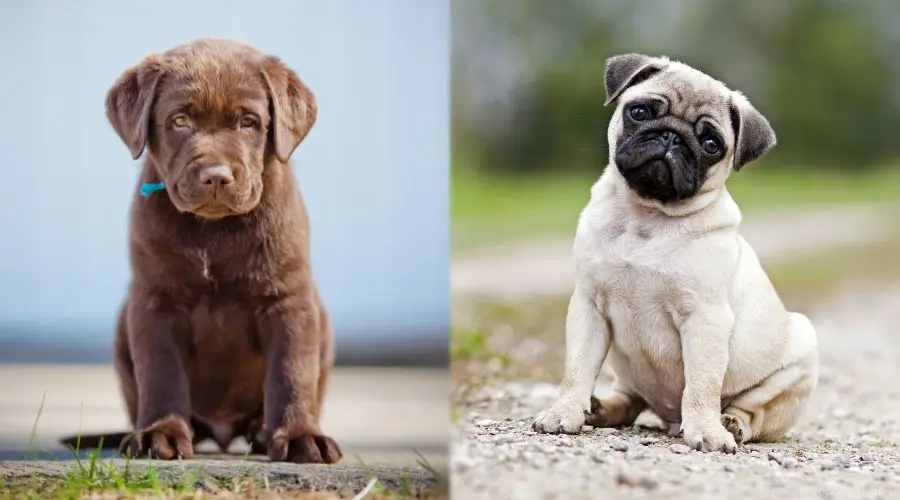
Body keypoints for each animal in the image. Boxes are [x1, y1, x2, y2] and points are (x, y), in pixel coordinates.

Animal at [59, 39, 342, 464]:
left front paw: (298, 436)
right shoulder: (155, 301)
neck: (213, 231)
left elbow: (291, 372)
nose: (216, 176)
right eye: (180, 121)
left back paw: (262, 431)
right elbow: (161, 372)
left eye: (248, 122)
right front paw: (159, 433)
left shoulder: (288, 299)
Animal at [532, 54, 820, 454]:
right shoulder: (588, 306)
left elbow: (702, 384)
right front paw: (564, 412)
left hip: (800, 354)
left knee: (753, 412)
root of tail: (667, 419)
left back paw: (730, 424)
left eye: (711, 143)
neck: (646, 217)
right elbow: (577, 368)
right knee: (630, 399)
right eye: (639, 112)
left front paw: (707, 432)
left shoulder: (705, 318)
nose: (671, 136)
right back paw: (600, 409)